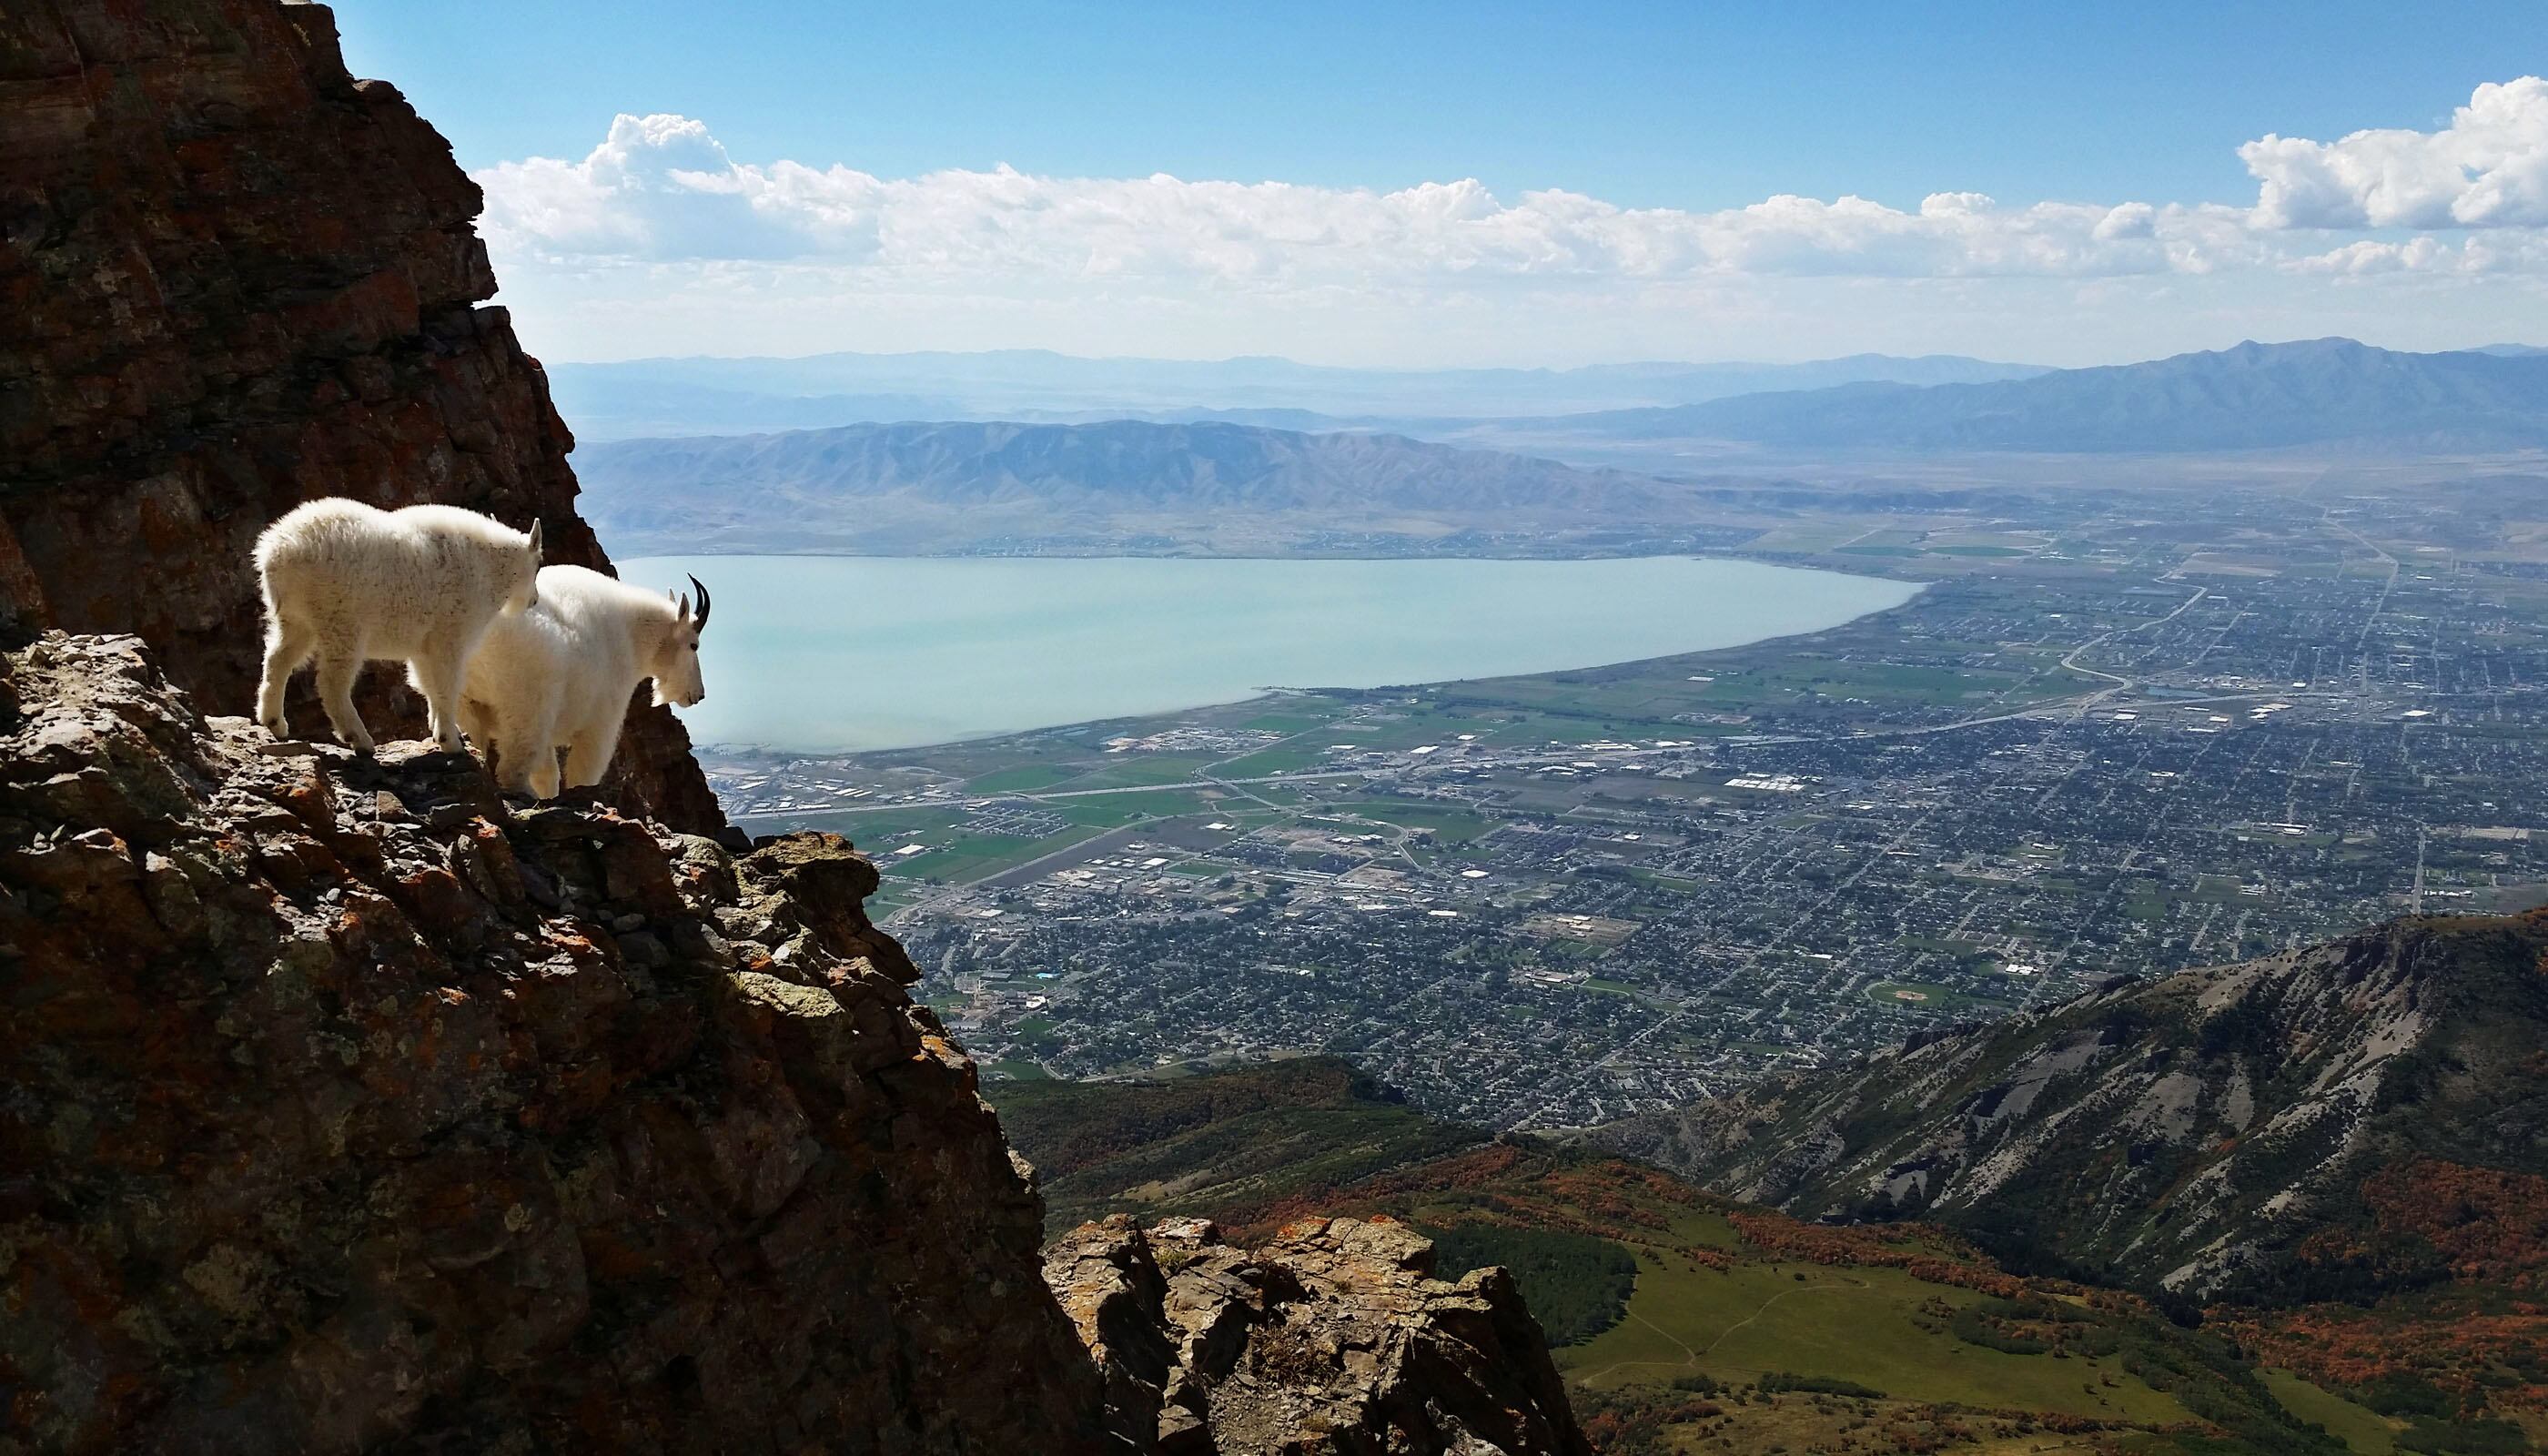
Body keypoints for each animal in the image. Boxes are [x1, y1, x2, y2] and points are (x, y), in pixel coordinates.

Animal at [253, 500, 542, 749]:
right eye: (538, 564)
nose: (534, 600)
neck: (491, 568)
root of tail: (277, 552)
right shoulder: (450, 637)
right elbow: (447, 687)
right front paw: (450, 740)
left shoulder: (424, 646)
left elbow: (428, 685)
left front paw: (440, 730)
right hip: (342, 623)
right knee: (331, 682)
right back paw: (359, 738)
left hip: (296, 620)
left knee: (277, 660)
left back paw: (274, 722)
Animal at [459, 566, 708, 795]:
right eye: (694, 645)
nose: (698, 695)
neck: (632, 635)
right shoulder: (600, 723)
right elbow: (583, 774)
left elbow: (547, 776)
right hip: (525, 706)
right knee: (512, 769)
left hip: (464, 700)